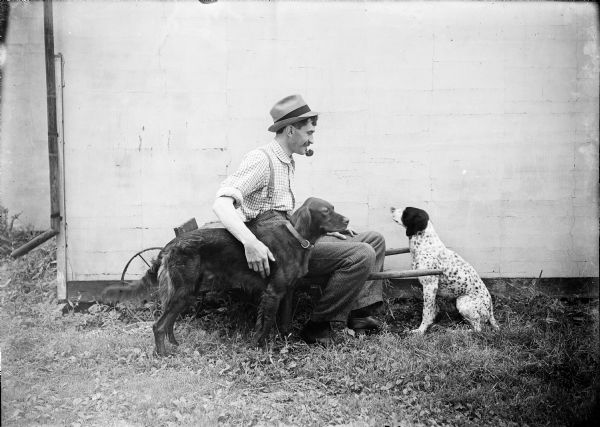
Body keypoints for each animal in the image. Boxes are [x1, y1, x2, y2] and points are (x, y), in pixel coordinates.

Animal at [103, 199, 346, 356]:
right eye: (326, 211)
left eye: (334, 208)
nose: (347, 221)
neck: (296, 239)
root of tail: (172, 243)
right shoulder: (273, 292)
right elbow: (266, 324)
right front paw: (260, 348)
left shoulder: (287, 292)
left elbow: (284, 324)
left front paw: (286, 345)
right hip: (183, 291)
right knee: (158, 325)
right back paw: (163, 355)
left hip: (188, 293)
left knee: (169, 322)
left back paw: (176, 346)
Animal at [392, 206, 500, 334]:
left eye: (406, 212)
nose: (391, 208)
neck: (425, 244)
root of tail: (491, 309)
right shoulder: (432, 289)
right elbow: (432, 310)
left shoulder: (430, 286)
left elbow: (426, 312)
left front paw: (421, 331)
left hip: (462, 301)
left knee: (478, 328)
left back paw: (457, 331)